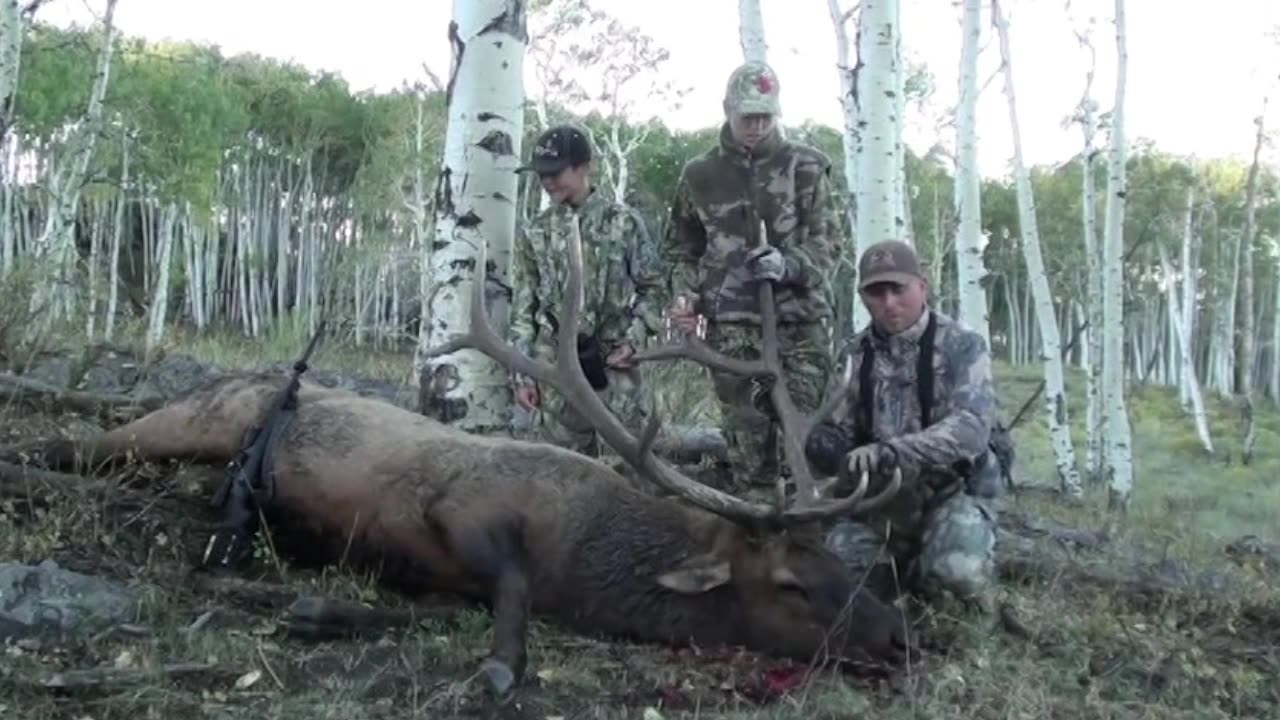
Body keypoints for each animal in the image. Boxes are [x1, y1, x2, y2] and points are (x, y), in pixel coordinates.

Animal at [15, 222, 906, 691]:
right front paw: (502, 668)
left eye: (839, 562)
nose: (897, 636)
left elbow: (447, 604)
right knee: (78, 442)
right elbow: (507, 591)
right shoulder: (460, 507)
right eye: (791, 583)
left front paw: (321, 610)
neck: (584, 561)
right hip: (201, 416)